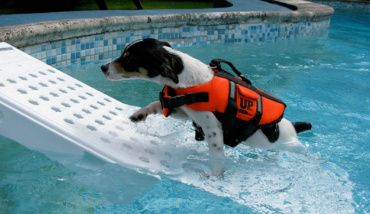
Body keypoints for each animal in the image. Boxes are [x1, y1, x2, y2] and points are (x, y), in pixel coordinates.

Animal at [99, 38, 310, 176]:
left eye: (128, 60)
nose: (102, 67)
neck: (190, 80)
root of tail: (293, 128)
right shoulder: (182, 111)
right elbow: (156, 104)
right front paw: (139, 114)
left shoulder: (213, 130)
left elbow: (216, 155)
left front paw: (216, 175)